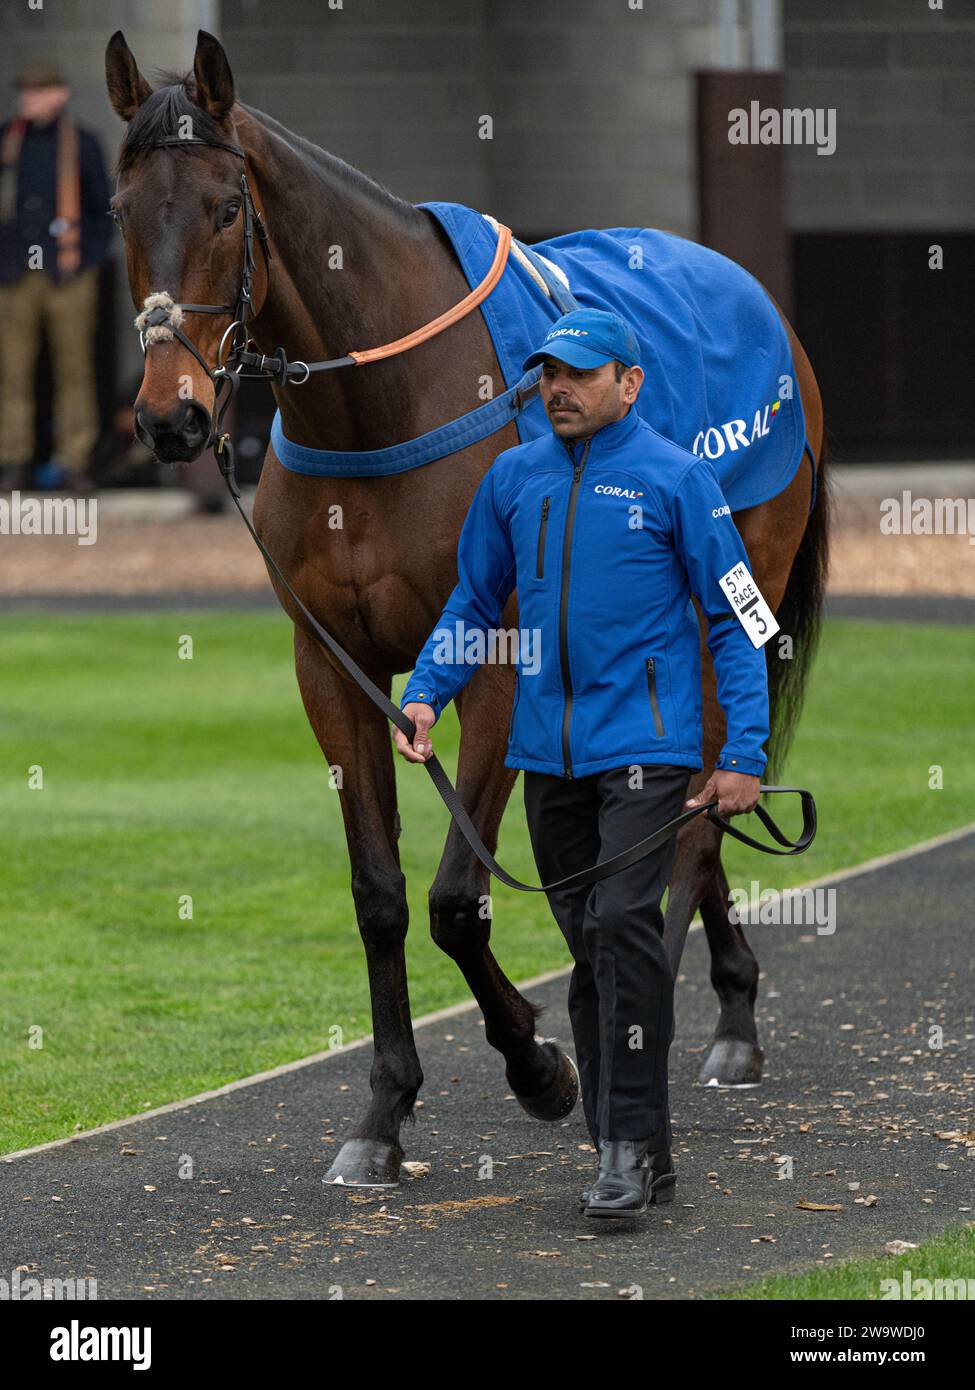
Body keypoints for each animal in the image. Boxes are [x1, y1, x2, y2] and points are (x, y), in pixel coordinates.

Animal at [106, 29, 828, 1184]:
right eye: (124, 211)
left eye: (223, 208)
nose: (171, 416)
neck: (381, 404)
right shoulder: (331, 668)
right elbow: (381, 894)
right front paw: (383, 1112)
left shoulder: (499, 656)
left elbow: (457, 897)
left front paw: (541, 1066)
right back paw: (727, 1009)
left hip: (731, 593)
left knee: (699, 808)